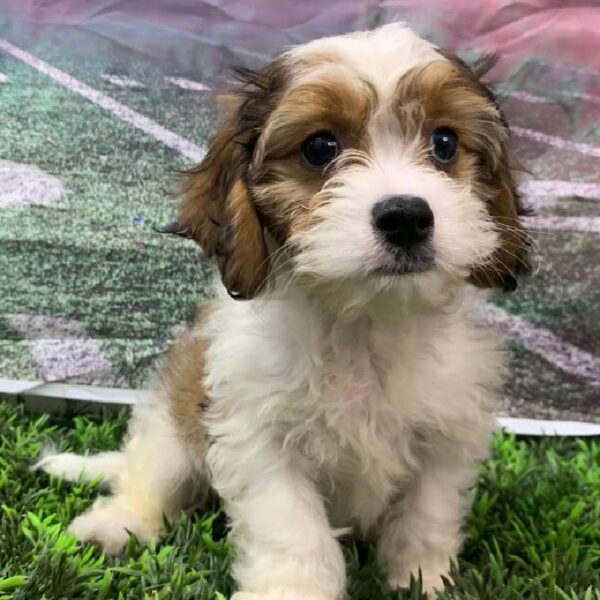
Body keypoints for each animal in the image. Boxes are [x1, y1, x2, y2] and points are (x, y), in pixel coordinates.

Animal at [35, 23, 528, 600]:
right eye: (320, 148)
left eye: (445, 143)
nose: (406, 217)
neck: (365, 322)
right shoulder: (259, 435)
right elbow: (294, 531)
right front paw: (293, 589)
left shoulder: (447, 433)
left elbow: (426, 515)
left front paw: (422, 580)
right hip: (173, 425)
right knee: (150, 479)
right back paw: (118, 524)